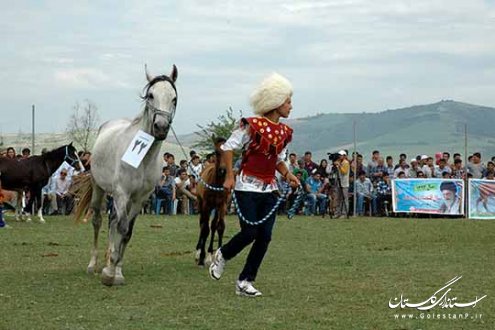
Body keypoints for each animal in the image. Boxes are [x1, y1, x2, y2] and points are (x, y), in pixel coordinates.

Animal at [74, 64, 179, 286]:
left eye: (173, 98)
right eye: (151, 95)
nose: (161, 127)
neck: (143, 159)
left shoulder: (140, 199)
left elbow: (127, 232)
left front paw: (117, 270)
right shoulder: (121, 193)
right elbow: (121, 228)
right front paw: (109, 274)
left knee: (113, 222)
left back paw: (107, 260)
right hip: (100, 190)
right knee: (98, 221)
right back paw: (94, 264)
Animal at [195, 138, 232, 266]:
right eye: (217, 152)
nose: (223, 170)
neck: (217, 184)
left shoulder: (223, 205)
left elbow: (220, 227)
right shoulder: (206, 204)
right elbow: (205, 229)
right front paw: (201, 257)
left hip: (216, 207)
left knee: (213, 225)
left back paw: (210, 253)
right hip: (202, 203)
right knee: (202, 224)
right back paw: (198, 252)